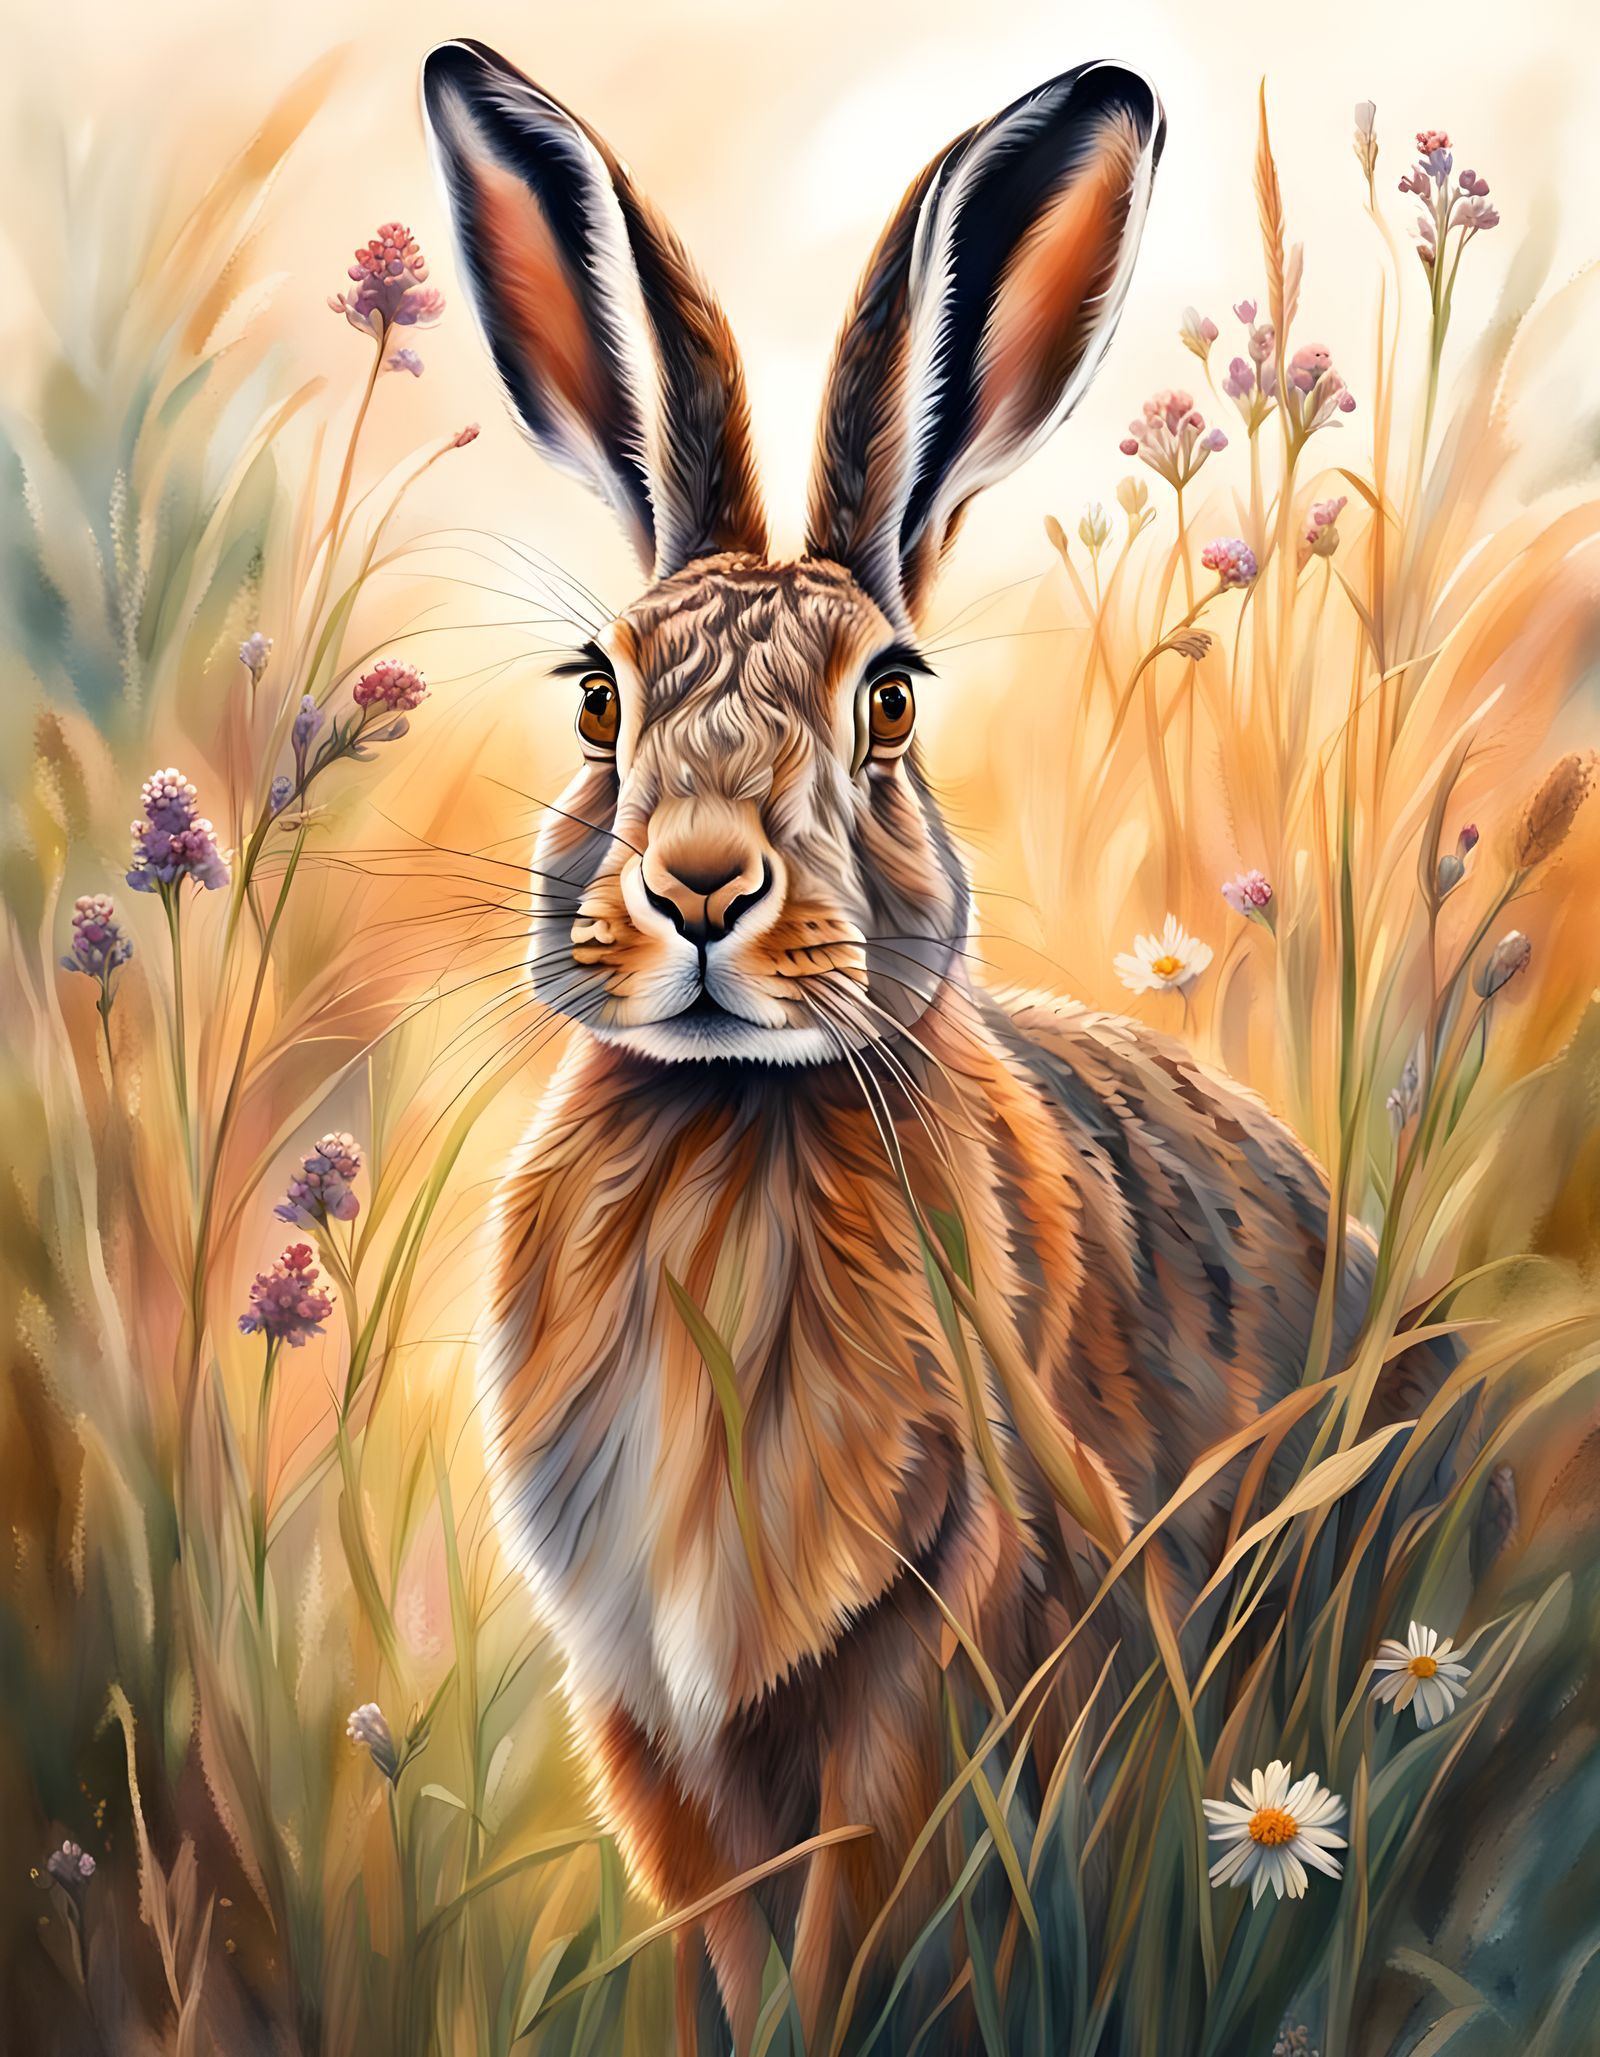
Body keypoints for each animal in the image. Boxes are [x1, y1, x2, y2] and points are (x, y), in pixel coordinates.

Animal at [421, 41, 1456, 2051]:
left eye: (888, 701)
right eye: (598, 696)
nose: (699, 888)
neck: (731, 1130)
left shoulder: (935, 1660)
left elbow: (843, 1944)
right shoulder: (649, 1712)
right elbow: (721, 1945)